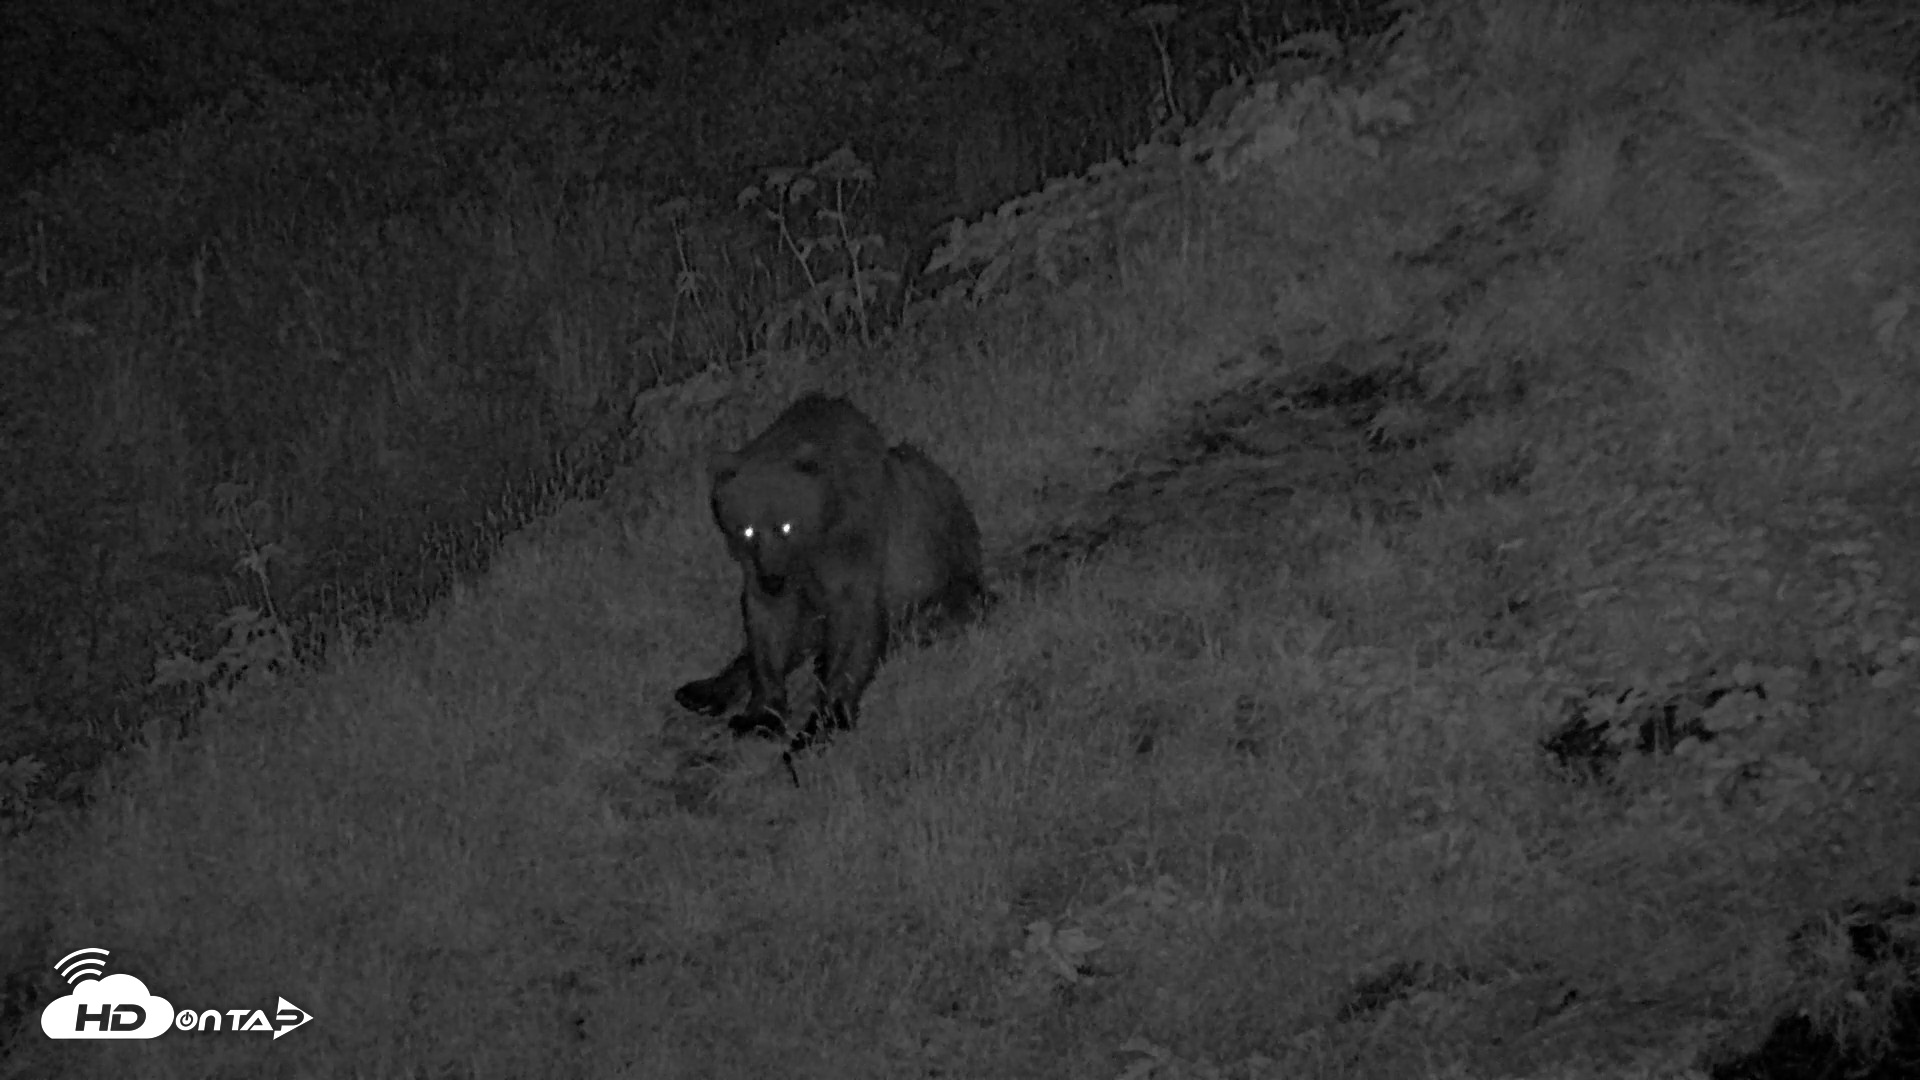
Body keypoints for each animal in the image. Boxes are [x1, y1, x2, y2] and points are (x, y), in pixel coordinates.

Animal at [674, 393, 988, 750]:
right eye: (747, 530)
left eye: (785, 525)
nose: (773, 580)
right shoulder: (767, 570)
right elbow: (766, 627)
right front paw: (759, 715)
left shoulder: (853, 541)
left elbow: (854, 619)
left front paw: (820, 723)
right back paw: (700, 691)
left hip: (950, 582)